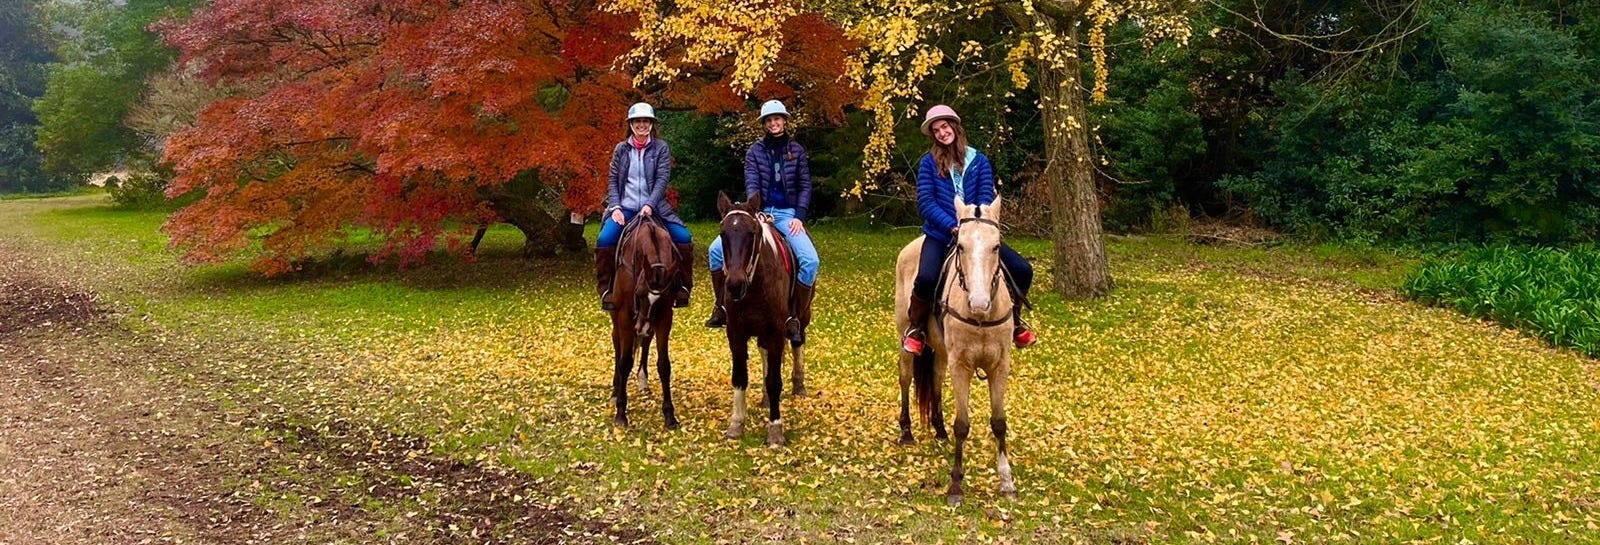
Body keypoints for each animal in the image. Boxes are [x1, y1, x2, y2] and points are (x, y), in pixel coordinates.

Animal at [716, 190, 812, 444]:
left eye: (753, 233)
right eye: (723, 233)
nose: (735, 285)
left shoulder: (777, 333)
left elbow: (775, 381)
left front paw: (775, 431)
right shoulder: (736, 333)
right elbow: (740, 377)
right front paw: (736, 425)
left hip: (802, 318)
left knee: (798, 342)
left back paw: (799, 384)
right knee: (764, 352)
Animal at [889, 196, 1011, 505]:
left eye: (996, 246)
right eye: (961, 246)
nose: (979, 302)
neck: (981, 318)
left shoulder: (1000, 366)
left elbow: (999, 421)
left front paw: (1006, 480)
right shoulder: (962, 366)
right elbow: (963, 424)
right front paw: (955, 484)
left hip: (941, 351)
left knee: (935, 378)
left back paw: (939, 429)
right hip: (905, 339)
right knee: (906, 377)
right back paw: (907, 431)